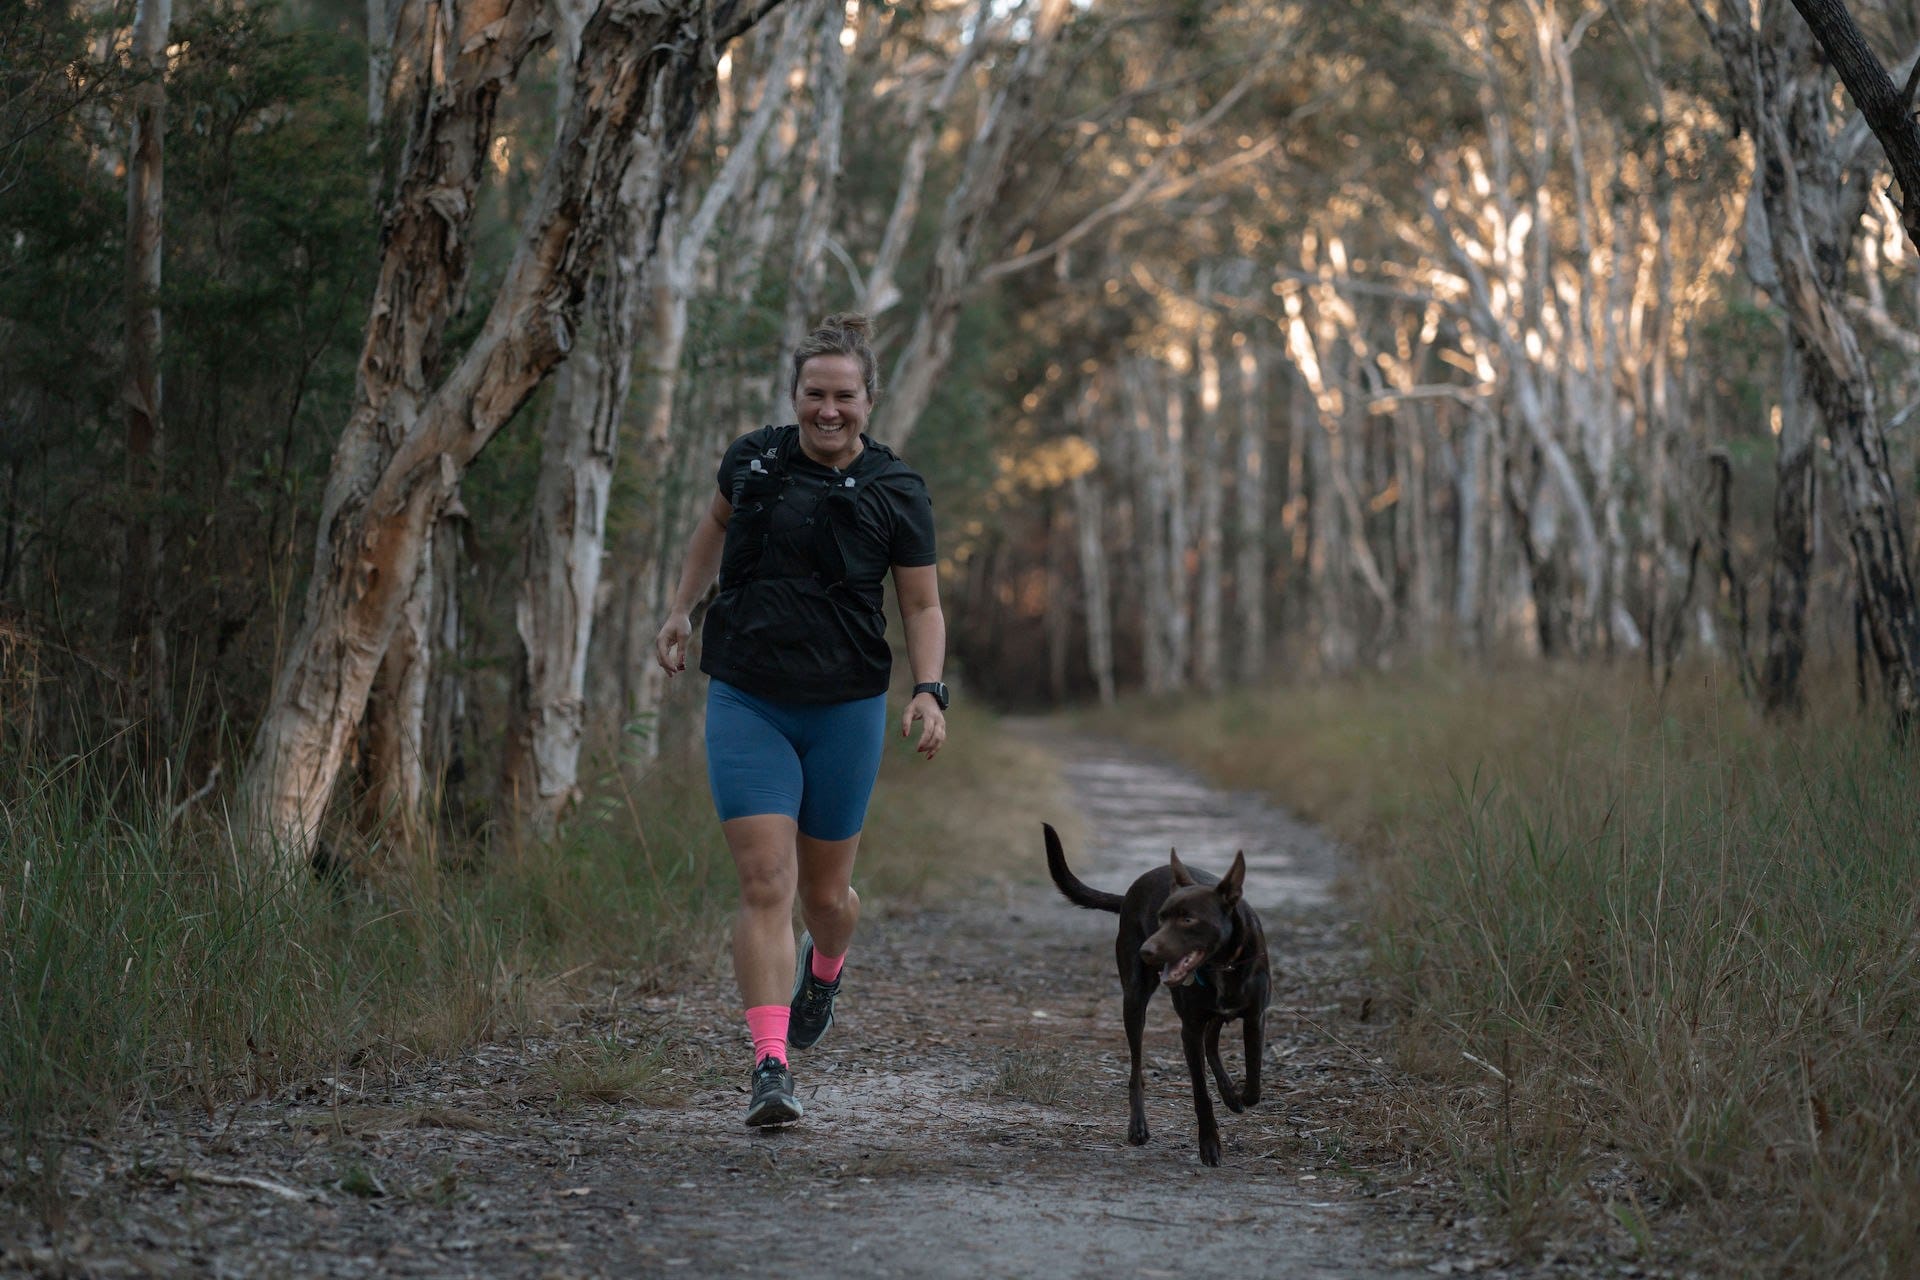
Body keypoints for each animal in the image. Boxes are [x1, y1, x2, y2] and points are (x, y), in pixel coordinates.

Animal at [1043, 822, 1270, 1166]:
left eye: (1189, 919)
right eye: (1162, 917)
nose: (1146, 951)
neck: (1223, 964)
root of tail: (1129, 892)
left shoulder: (1254, 1017)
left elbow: (1254, 1079)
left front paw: (1238, 1094)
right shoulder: (1189, 1029)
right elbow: (1200, 1093)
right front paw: (1209, 1144)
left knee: (1212, 1040)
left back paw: (1230, 1094)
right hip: (1134, 999)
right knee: (1137, 1069)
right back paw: (1138, 1126)